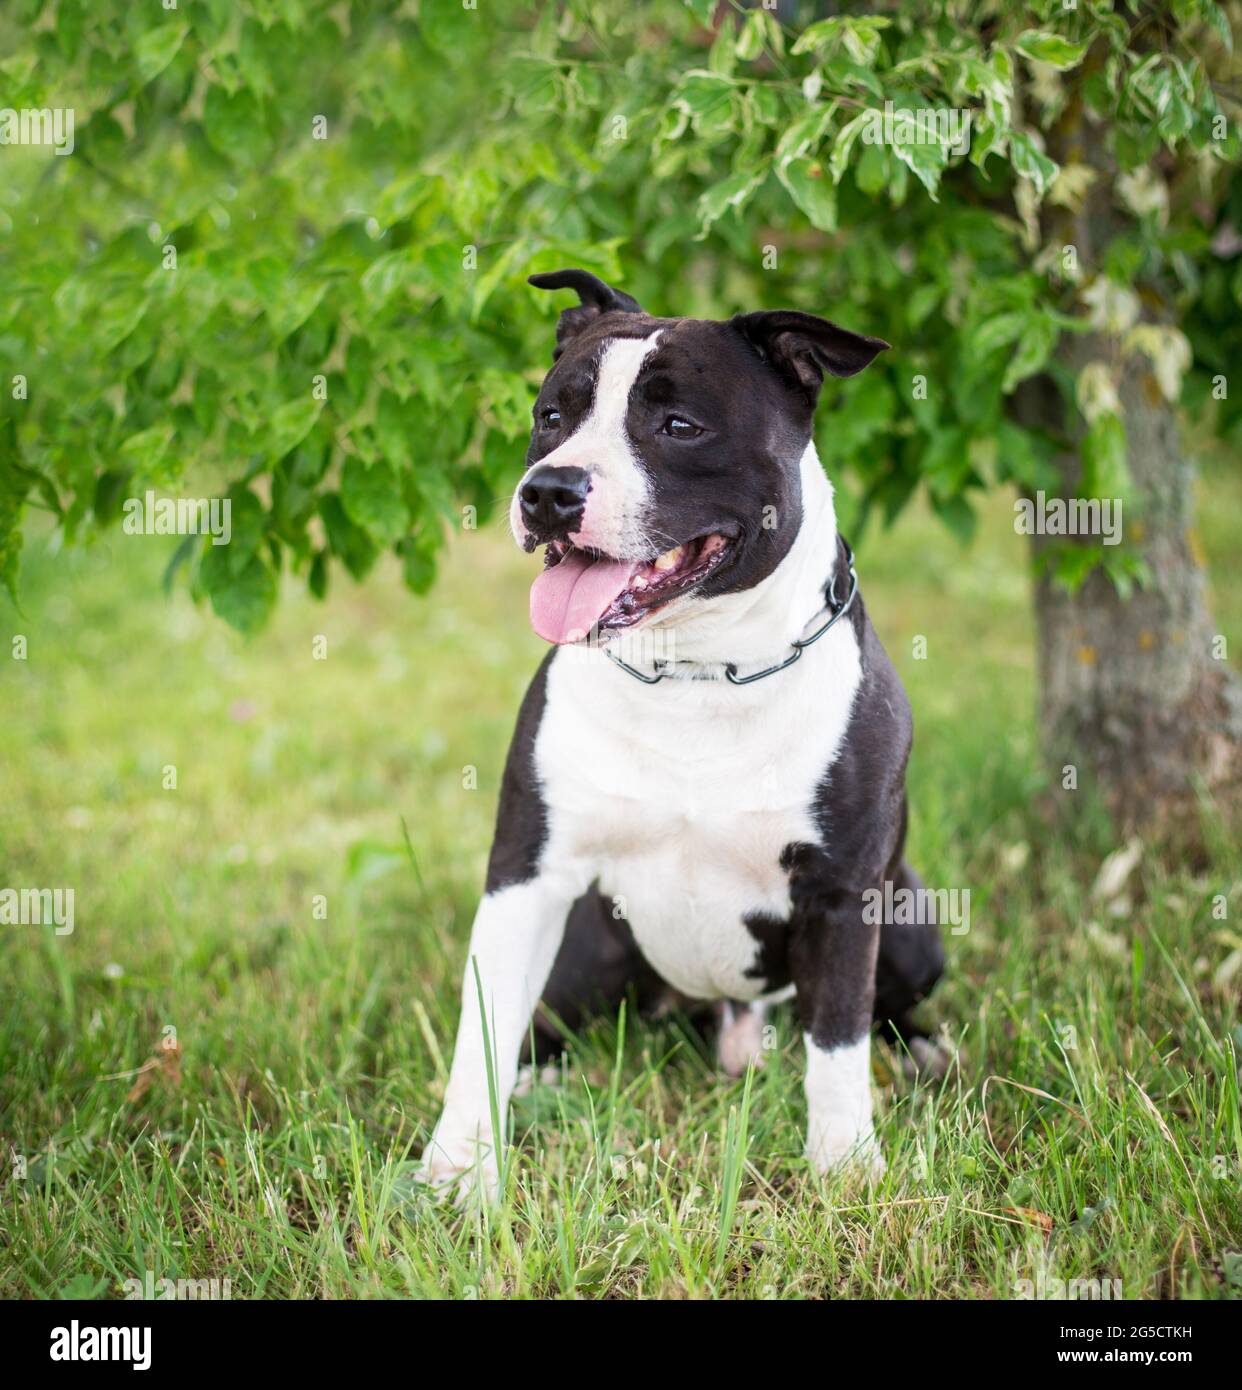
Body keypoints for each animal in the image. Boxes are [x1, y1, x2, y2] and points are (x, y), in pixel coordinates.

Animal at [422, 268, 950, 1195]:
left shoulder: (845, 894)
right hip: (587, 944)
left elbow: (839, 1043)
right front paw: (458, 1168)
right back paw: (541, 1071)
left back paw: (921, 1049)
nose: (549, 491)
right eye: (551, 416)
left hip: (914, 916)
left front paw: (845, 1167)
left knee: (879, 1012)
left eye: (680, 426)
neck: (695, 673)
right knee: (554, 1016)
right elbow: (480, 1026)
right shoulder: (525, 877)